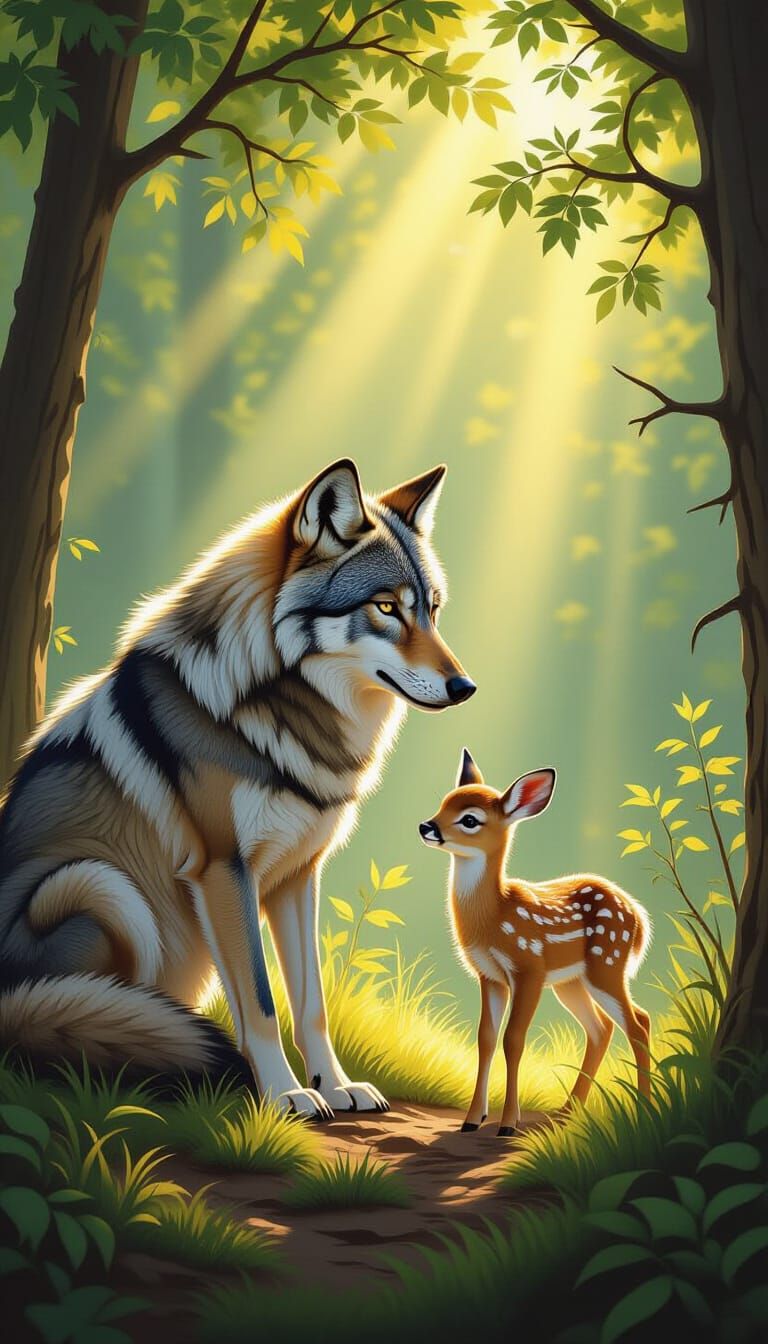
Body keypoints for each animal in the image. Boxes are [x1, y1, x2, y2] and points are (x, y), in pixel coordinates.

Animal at [0, 459, 475, 1118]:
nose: (465, 687)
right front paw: (285, 1093)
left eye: (431, 608)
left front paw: (336, 1085)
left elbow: (311, 1004)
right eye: (386, 607)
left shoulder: (299, 876)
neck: (281, 714)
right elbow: (260, 1000)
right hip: (98, 887)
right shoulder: (224, 870)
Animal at [419, 750, 652, 1137]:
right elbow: (485, 1038)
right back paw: (568, 1110)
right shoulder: (489, 975)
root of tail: (638, 916)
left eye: (470, 819)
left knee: (638, 1023)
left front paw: (507, 1124)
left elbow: (513, 1039)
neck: (492, 916)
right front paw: (472, 1119)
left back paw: (643, 1107)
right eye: (444, 803)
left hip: (606, 963)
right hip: (571, 982)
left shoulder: (529, 967)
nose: (426, 827)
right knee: (601, 1028)